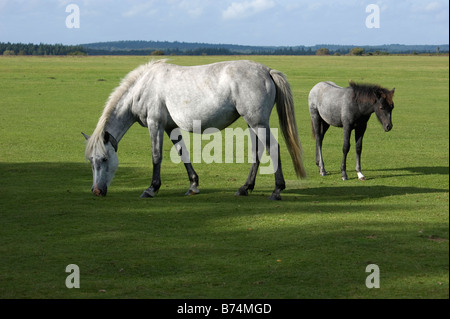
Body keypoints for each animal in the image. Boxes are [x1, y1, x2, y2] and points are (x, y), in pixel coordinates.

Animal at [82, 59, 306, 200]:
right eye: (91, 161)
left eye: (104, 159)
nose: (96, 191)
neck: (143, 87)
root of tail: (267, 70)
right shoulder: (170, 127)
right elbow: (183, 154)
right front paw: (193, 185)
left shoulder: (155, 124)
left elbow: (156, 156)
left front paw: (152, 188)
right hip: (253, 123)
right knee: (257, 152)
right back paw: (245, 188)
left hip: (257, 122)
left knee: (273, 148)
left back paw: (277, 190)